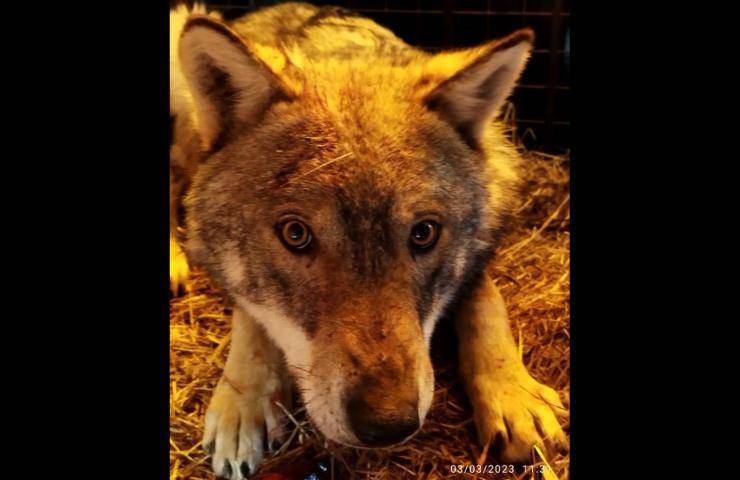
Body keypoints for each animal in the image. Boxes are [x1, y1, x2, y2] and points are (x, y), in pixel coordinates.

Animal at [170, 3, 568, 478]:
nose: (388, 422)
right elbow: (251, 317)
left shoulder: (482, 245)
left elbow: (487, 302)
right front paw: (242, 403)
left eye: (424, 233)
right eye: (295, 233)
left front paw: (514, 395)